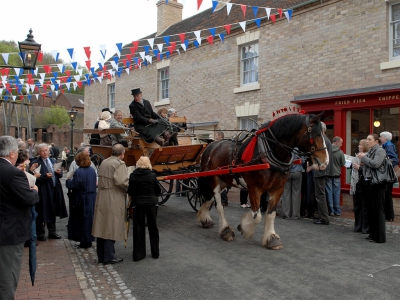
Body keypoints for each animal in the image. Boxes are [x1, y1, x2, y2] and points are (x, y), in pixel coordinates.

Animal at [197, 111, 328, 250]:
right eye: (316, 134)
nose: (325, 162)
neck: (267, 152)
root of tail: (210, 146)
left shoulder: (277, 189)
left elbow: (270, 214)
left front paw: (271, 238)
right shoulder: (254, 188)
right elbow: (257, 216)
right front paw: (245, 228)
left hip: (224, 181)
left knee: (209, 199)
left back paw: (205, 219)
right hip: (214, 181)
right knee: (219, 206)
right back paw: (225, 230)